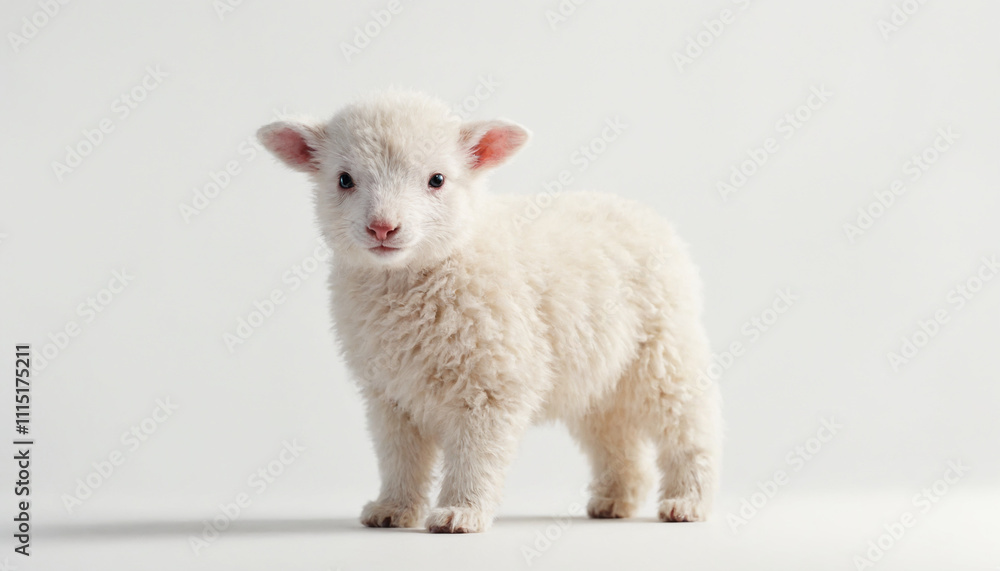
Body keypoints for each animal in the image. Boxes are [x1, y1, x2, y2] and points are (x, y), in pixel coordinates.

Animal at [257, 90, 721, 533]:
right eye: (344, 179)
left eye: (437, 180)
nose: (383, 228)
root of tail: (645, 215)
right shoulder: (389, 393)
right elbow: (400, 457)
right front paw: (393, 509)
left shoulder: (492, 382)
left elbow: (476, 454)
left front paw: (461, 513)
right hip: (598, 379)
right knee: (614, 433)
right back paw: (615, 501)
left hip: (665, 348)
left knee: (689, 423)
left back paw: (688, 502)